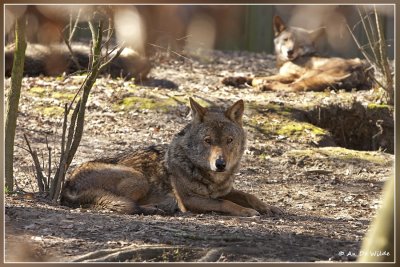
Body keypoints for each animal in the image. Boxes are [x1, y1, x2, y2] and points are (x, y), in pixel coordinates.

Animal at [61, 98, 282, 218]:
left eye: (229, 140)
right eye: (208, 141)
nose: (220, 164)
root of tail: (68, 182)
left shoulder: (223, 191)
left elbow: (248, 195)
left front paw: (268, 207)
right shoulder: (189, 200)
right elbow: (225, 203)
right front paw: (247, 211)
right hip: (139, 178)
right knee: (124, 205)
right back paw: (153, 208)